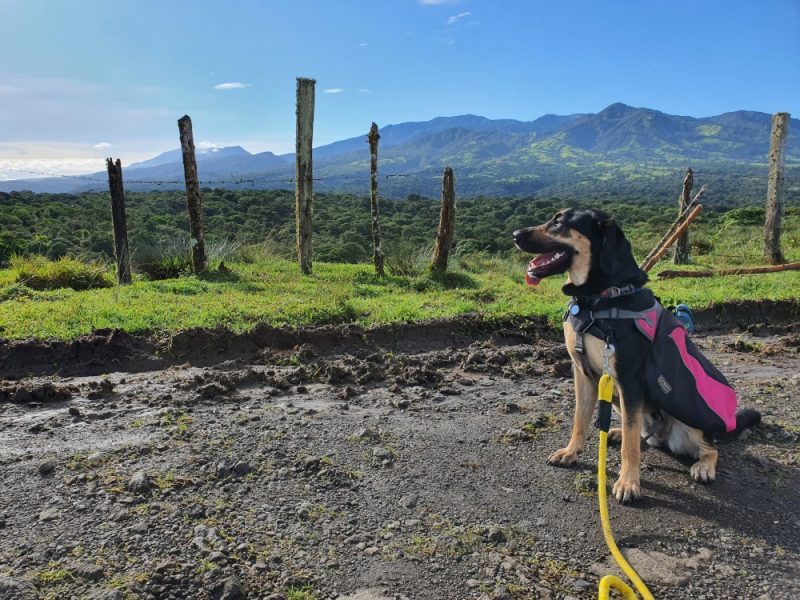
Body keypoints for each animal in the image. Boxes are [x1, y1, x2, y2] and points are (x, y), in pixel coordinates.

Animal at [516, 209, 760, 504]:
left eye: (559, 222)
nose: (515, 235)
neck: (597, 299)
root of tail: (662, 436)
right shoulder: (582, 374)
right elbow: (580, 420)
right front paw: (571, 452)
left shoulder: (628, 380)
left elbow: (631, 448)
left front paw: (628, 483)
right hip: (621, 403)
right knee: (637, 431)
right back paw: (617, 432)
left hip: (687, 426)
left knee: (710, 449)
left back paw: (703, 466)